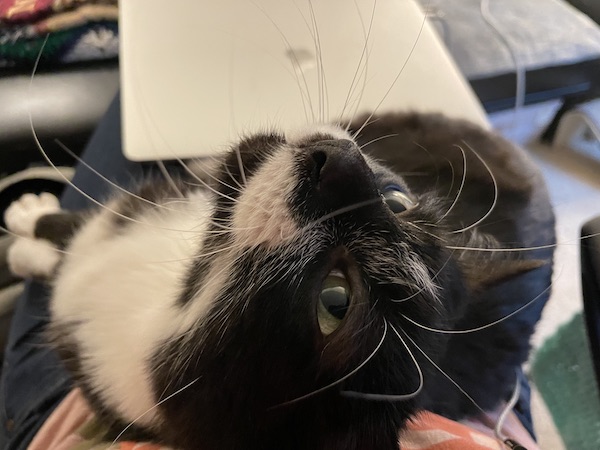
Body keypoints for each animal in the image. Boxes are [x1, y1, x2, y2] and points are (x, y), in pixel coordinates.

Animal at [2, 110, 556, 450]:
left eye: (336, 301)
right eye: (398, 201)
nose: (343, 161)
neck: (178, 297)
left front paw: (28, 244)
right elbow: (83, 227)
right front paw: (33, 221)